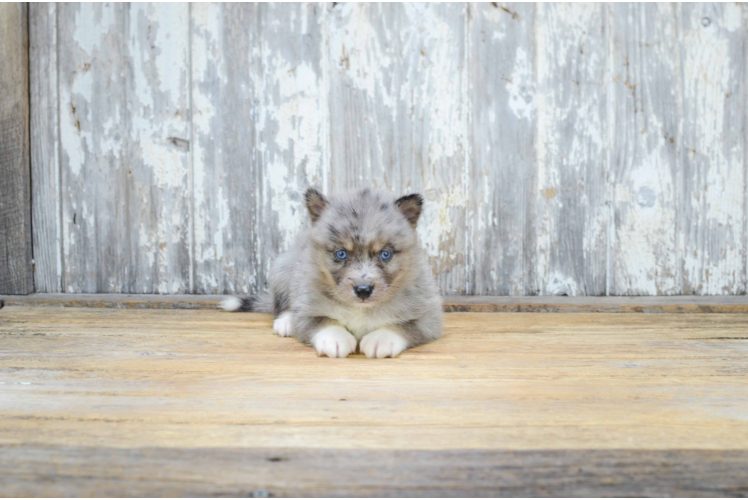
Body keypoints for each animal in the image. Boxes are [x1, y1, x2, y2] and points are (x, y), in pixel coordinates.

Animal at [222, 188, 444, 360]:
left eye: (385, 254)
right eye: (341, 253)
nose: (363, 290)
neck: (360, 310)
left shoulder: (428, 316)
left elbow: (403, 326)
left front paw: (381, 339)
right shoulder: (307, 310)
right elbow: (323, 321)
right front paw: (336, 338)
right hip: (283, 269)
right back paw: (285, 322)